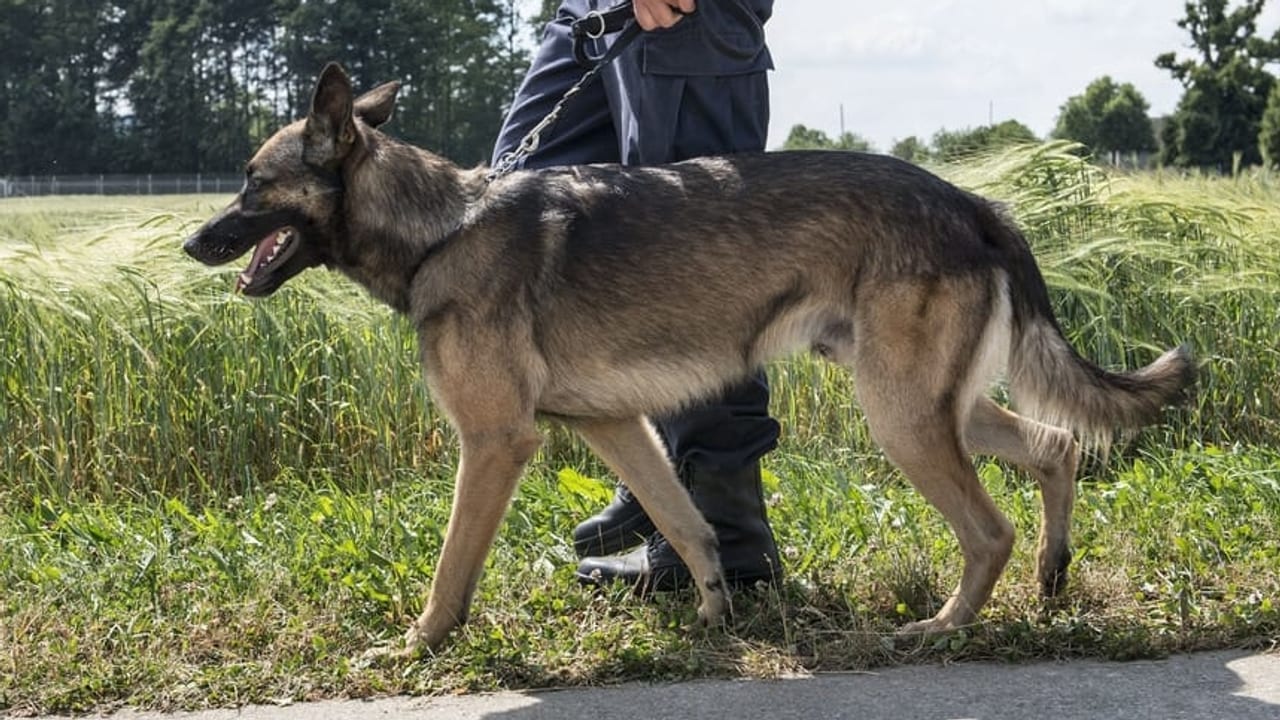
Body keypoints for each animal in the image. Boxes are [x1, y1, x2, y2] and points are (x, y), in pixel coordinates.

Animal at [185, 64, 1192, 653]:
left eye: (254, 182)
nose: (192, 243)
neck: (444, 227)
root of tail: (974, 201)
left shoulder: (498, 442)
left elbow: (451, 563)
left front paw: (422, 642)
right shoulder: (613, 424)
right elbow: (686, 521)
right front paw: (715, 613)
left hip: (902, 417)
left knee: (989, 528)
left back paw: (943, 627)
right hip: (930, 404)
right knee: (1058, 446)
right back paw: (1052, 579)